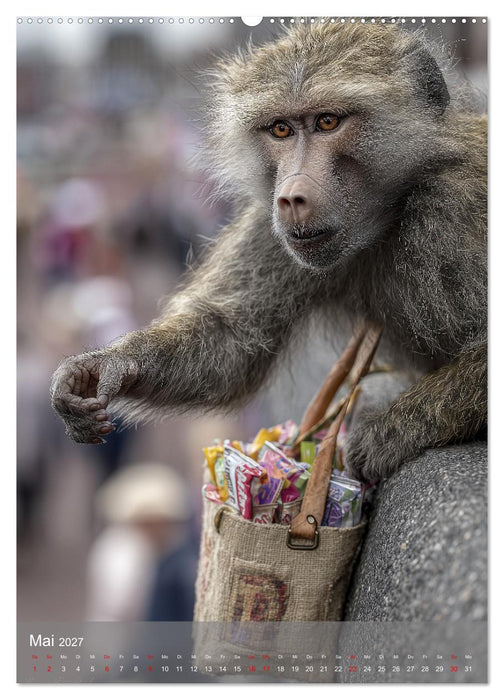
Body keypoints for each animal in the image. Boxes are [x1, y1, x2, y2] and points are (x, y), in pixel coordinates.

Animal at [50, 22, 487, 483]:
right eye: (280, 130)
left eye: (327, 122)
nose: (291, 196)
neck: (395, 211)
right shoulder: (269, 227)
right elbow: (232, 341)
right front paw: (102, 367)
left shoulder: (458, 206)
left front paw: (389, 432)